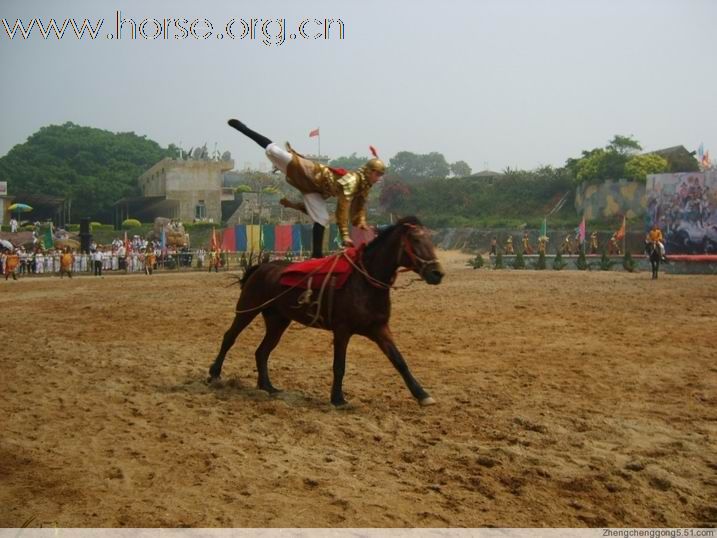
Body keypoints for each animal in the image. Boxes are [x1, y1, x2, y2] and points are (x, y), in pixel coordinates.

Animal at [206, 216, 442, 404]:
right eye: (416, 240)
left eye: (431, 241)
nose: (437, 273)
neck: (365, 281)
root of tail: (261, 267)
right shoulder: (342, 330)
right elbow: (339, 365)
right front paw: (337, 398)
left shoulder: (380, 328)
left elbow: (399, 361)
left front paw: (422, 395)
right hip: (247, 309)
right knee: (230, 337)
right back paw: (214, 373)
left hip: (278, 321)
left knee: (262, 351)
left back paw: (267, 386)